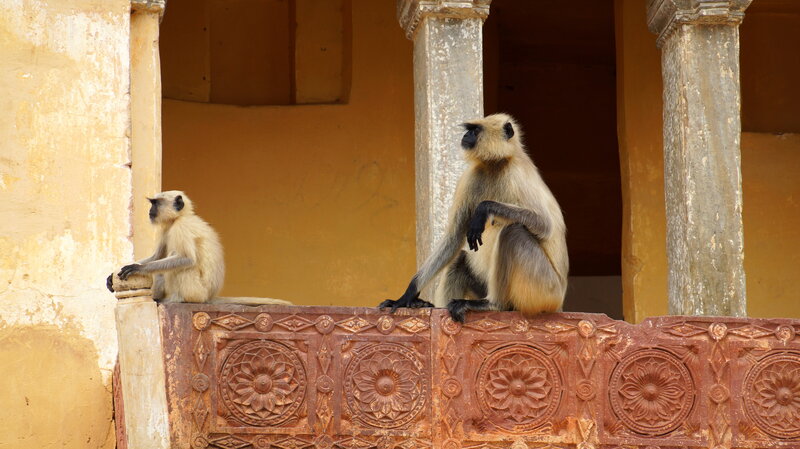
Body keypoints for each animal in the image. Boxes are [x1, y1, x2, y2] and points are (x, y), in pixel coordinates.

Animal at [379, 113, 568, 323]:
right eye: (469, 130)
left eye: (475, 130)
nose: (466, 135)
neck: (495, 165)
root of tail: (559, 303)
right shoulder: (473, 175)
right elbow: (454, 237)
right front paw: (408, 295)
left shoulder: (517, 173)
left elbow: (544, 225)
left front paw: (483, 210)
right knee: (459, 258)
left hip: (545, 290)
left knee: (513, 232)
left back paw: (494, 305)